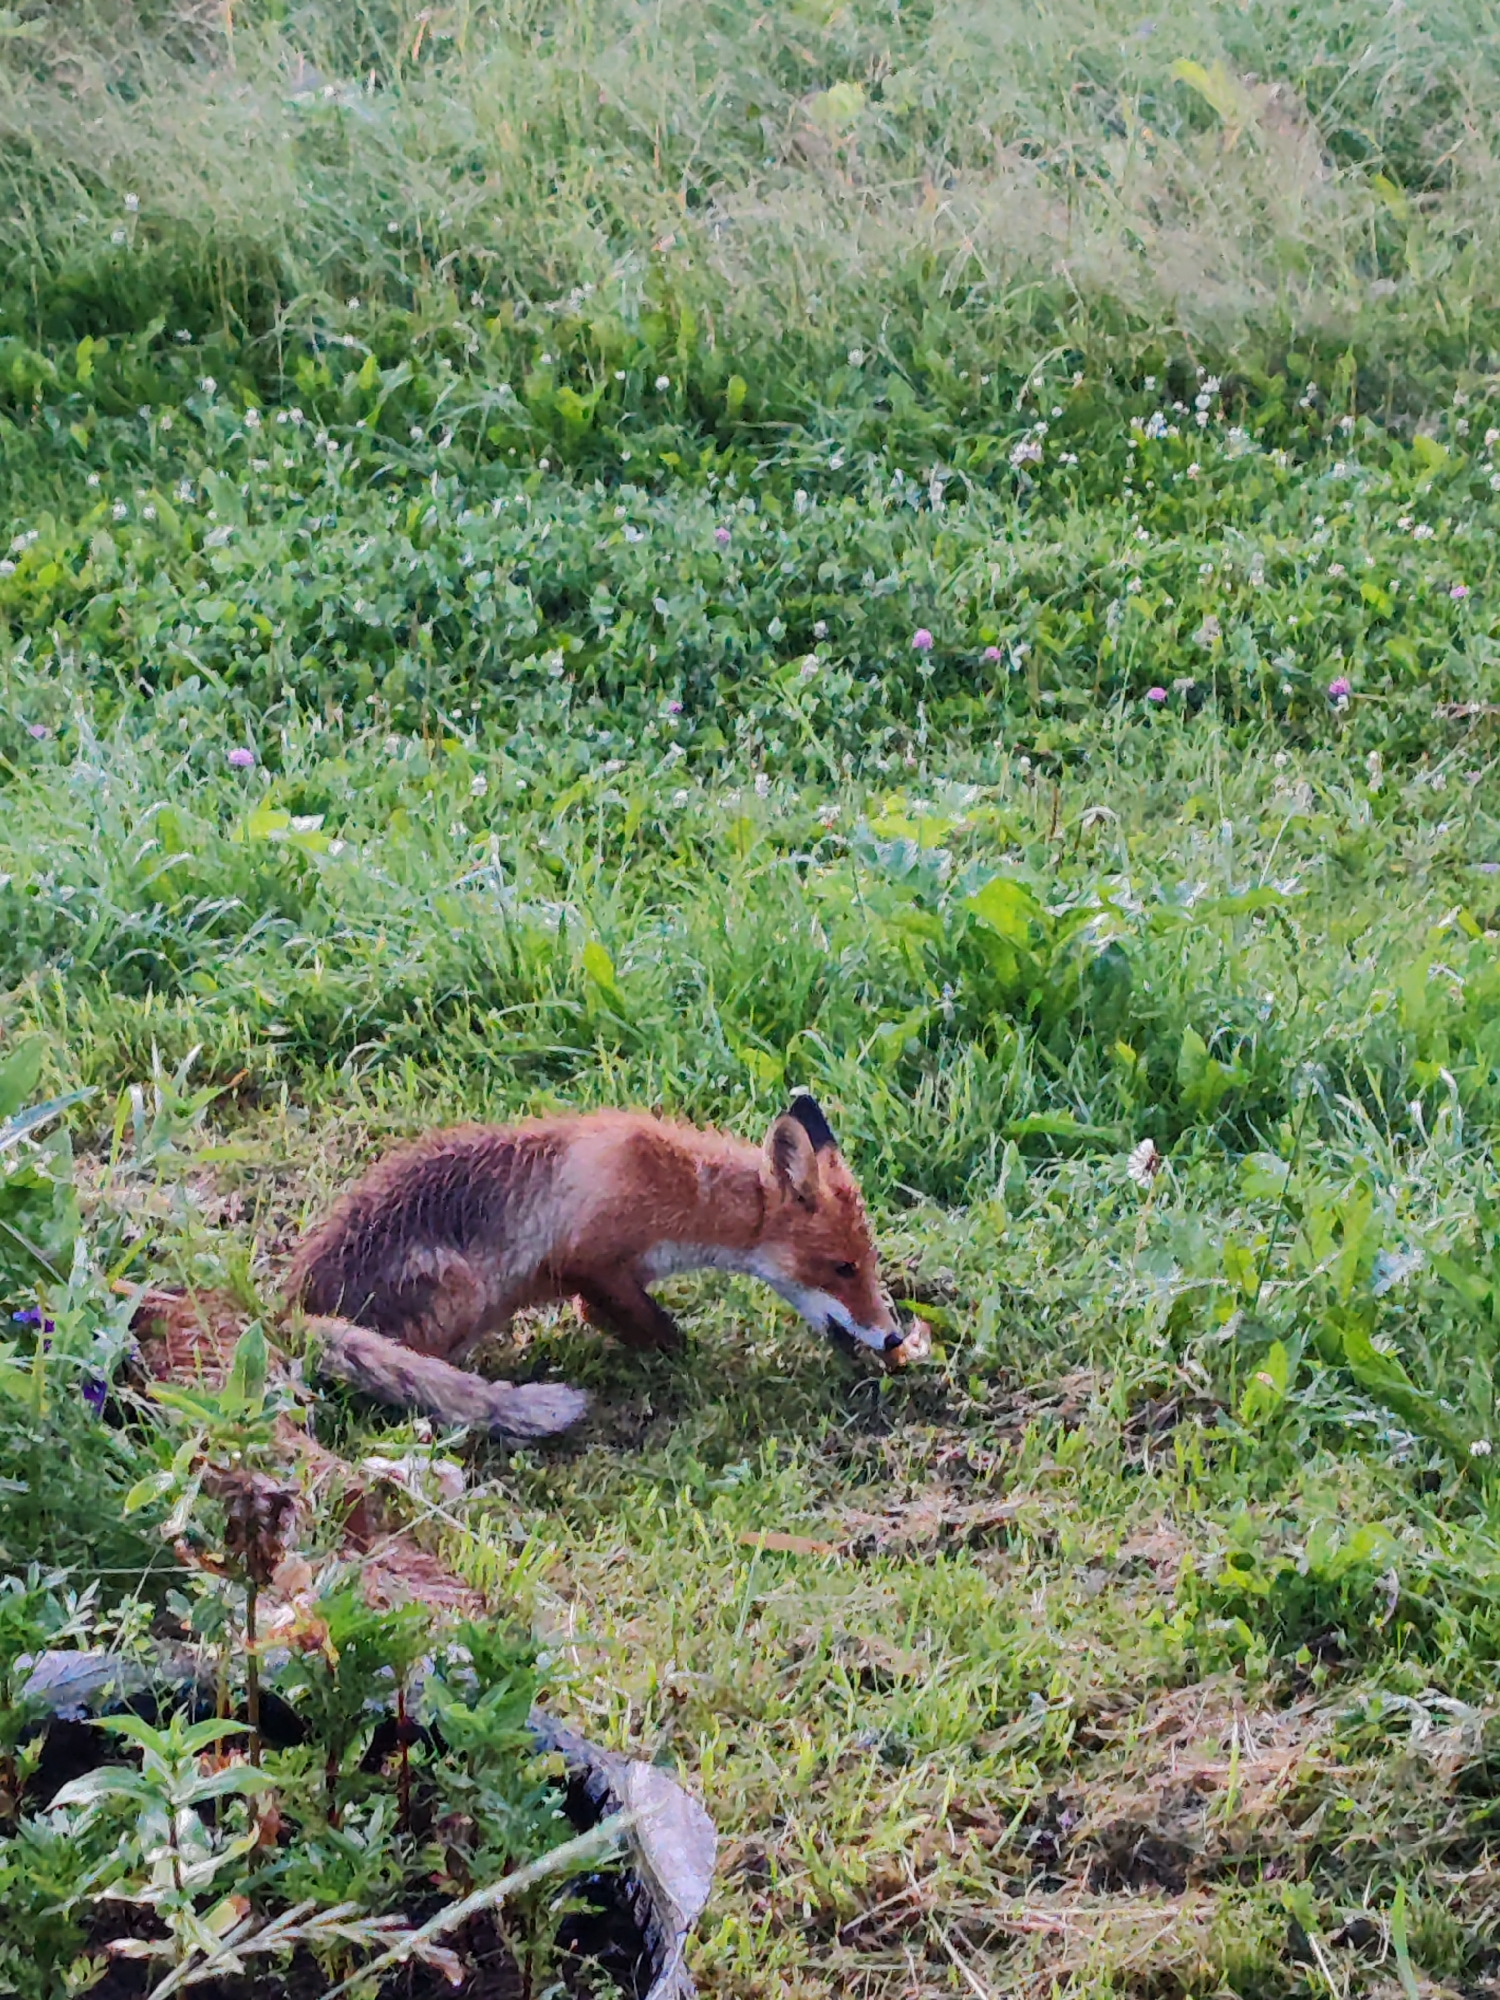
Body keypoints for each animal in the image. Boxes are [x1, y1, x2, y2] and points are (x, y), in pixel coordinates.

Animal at [286, 1094, 907, 1445]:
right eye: (843, 1268)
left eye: (869, 1264)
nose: (895, 1336)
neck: (681, 1193)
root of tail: (289, 1308)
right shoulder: (593, 1269)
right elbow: (670, 1339)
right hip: (459, 1291)